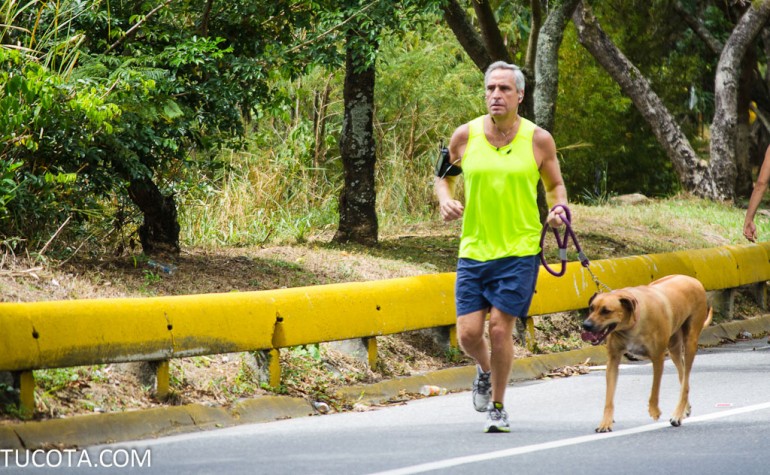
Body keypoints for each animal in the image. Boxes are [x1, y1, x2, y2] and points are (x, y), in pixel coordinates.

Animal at [580, 276, 712, 436]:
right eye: (591, 308)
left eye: (606, 311)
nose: (586, 325)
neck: (631, 324)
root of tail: (693, 279)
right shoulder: (613, 360)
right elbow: (609, 398)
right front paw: (605, 422)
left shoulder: (658, 357)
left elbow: (654, 389)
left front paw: (654, 411)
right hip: (674, 347)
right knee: (682, 375)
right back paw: (684, 409)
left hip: (690, 342)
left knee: (685, 381)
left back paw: (677, 415)